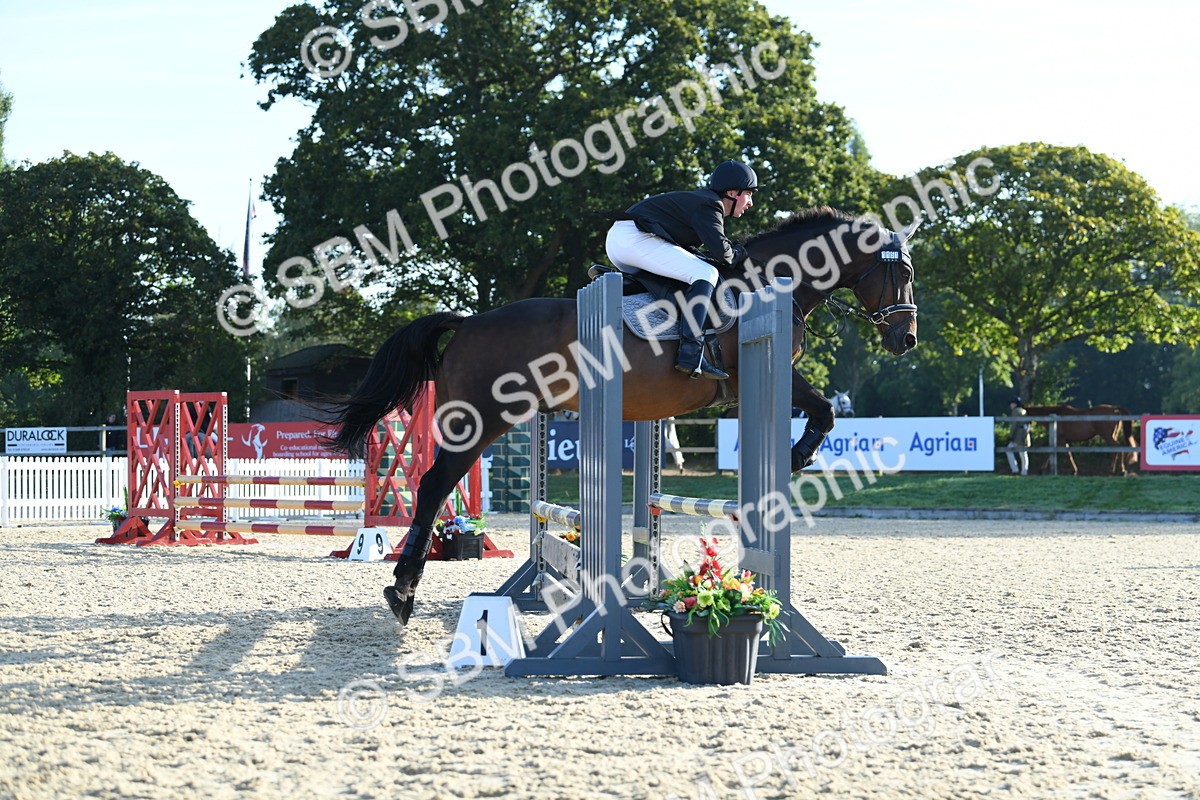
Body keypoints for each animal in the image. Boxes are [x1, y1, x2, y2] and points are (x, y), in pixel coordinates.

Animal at [325, 207, 920, 624]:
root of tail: (468, 322)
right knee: (433, 485)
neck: (768, 282)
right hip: (482, 418)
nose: (906, 339)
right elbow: (825, 410)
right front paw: (797, 456)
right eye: (903, 274)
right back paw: (401, 592)